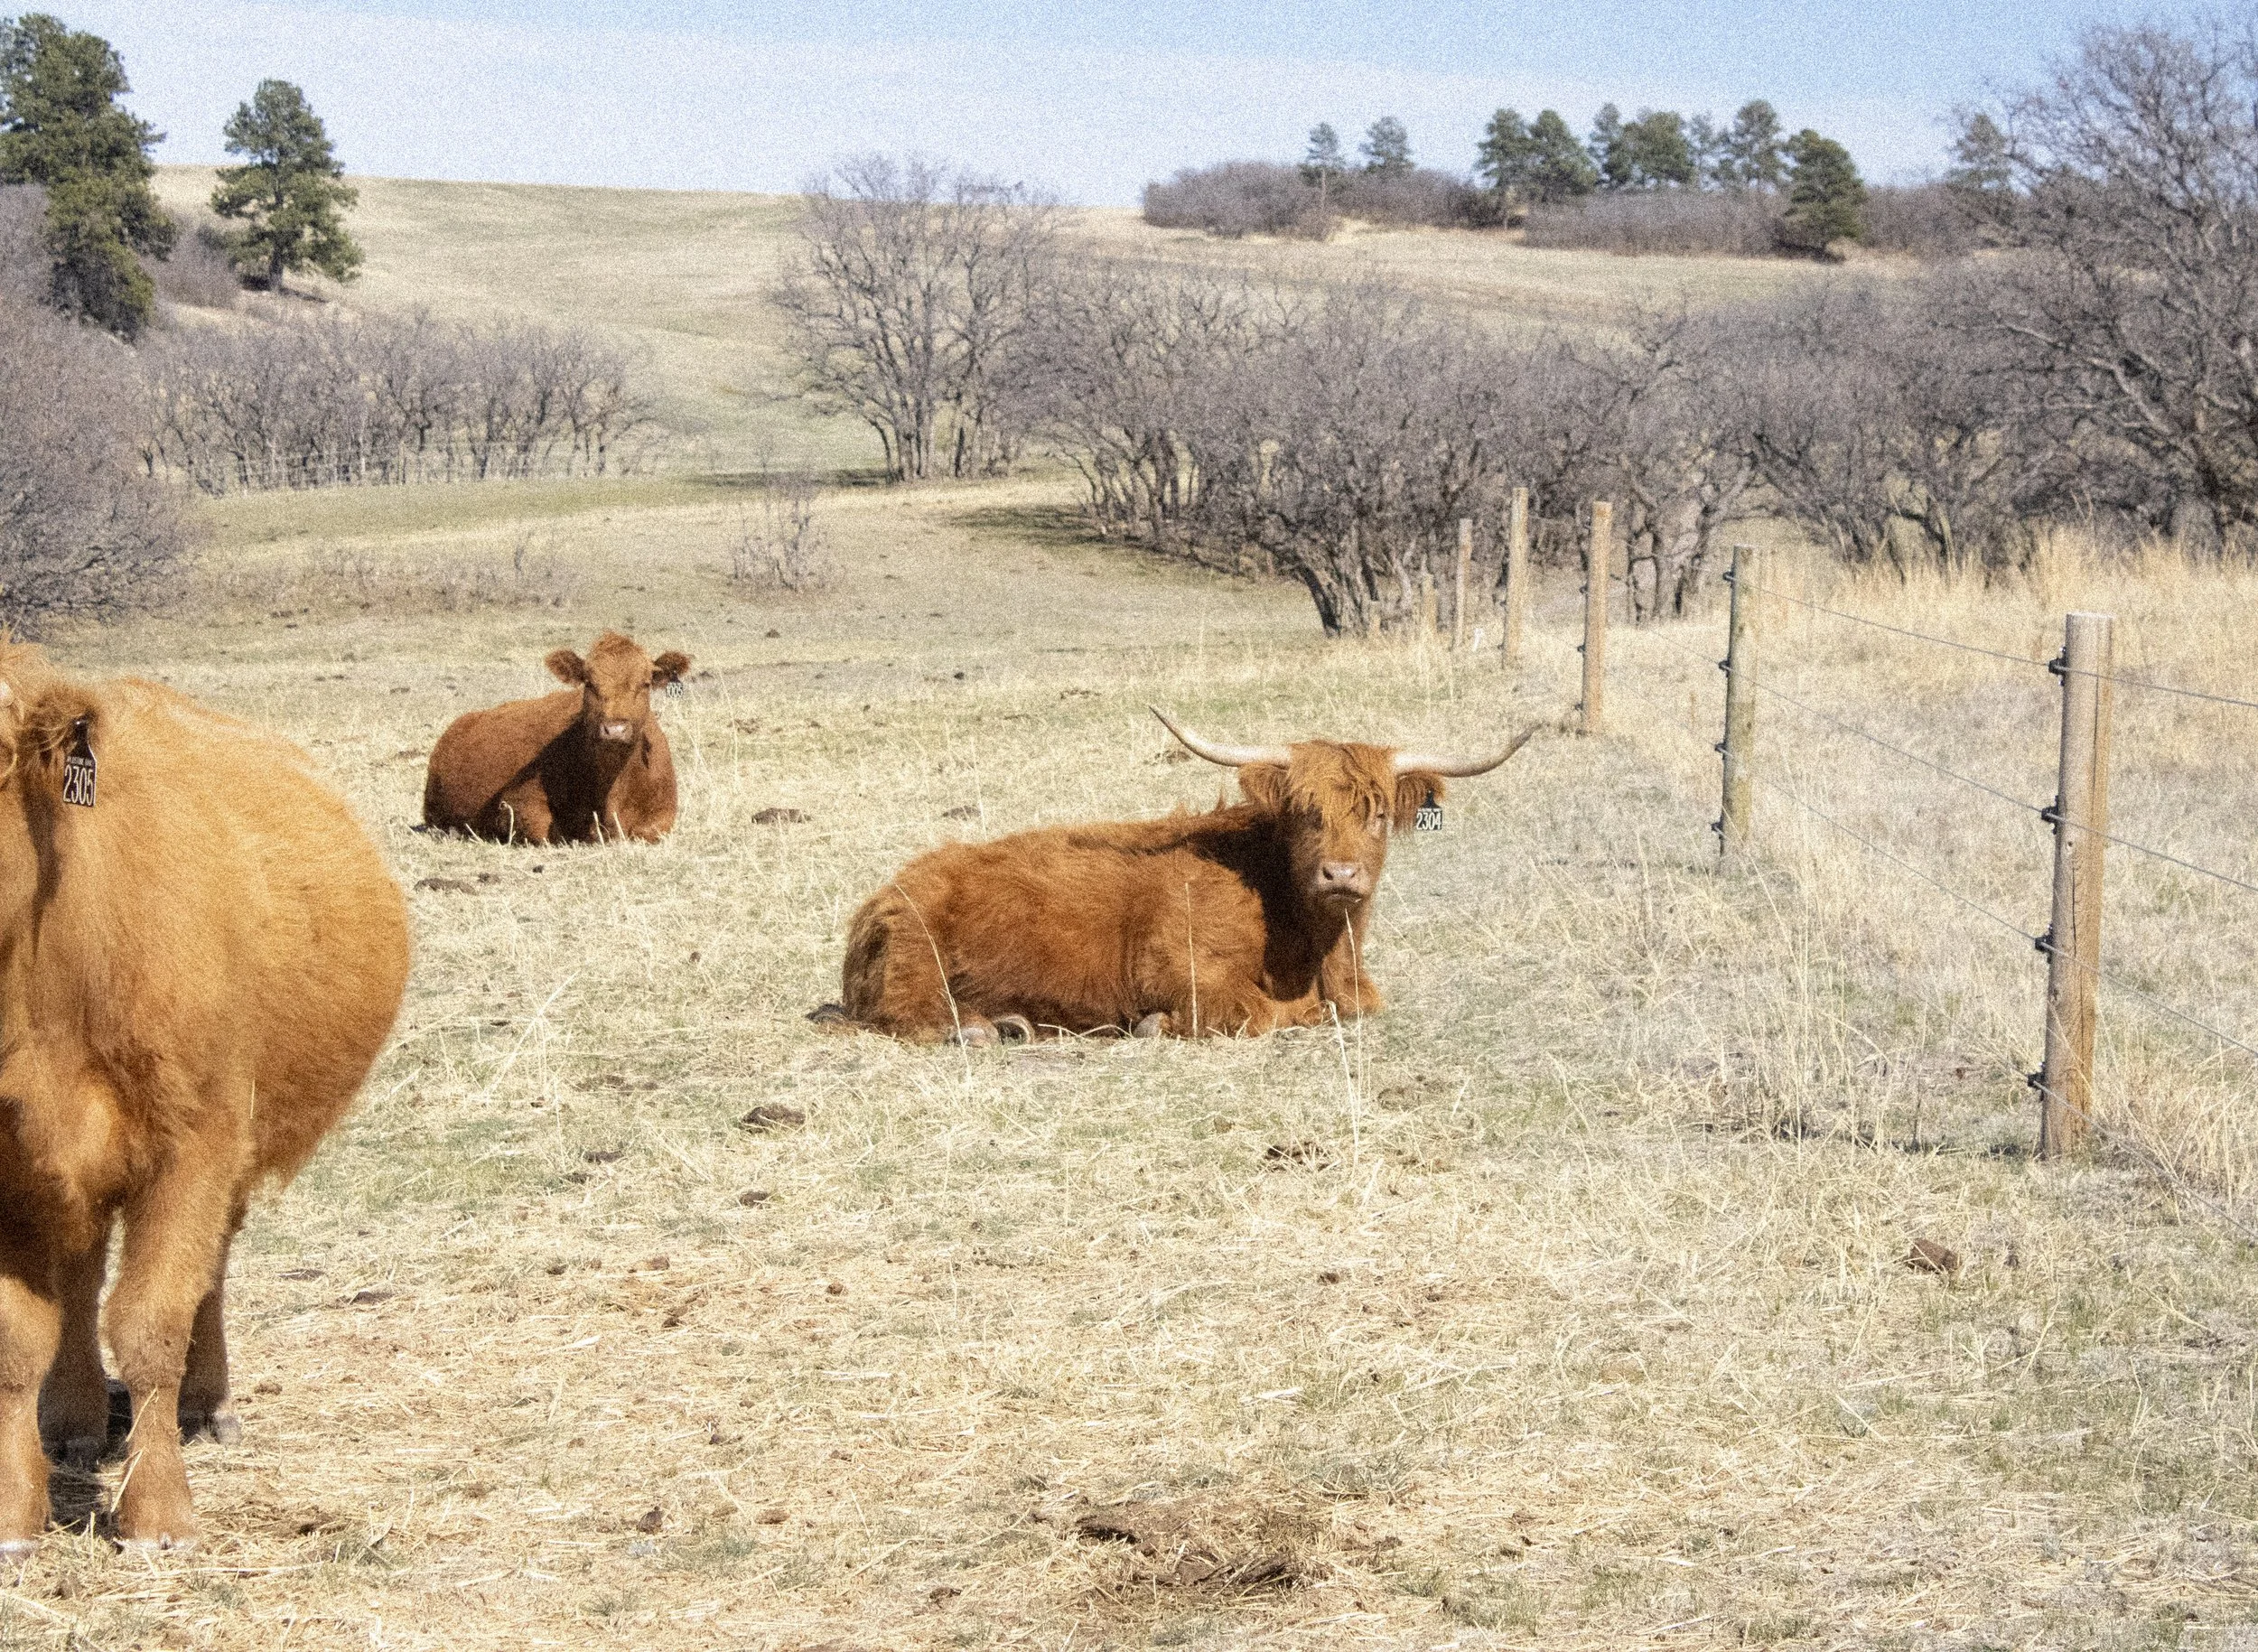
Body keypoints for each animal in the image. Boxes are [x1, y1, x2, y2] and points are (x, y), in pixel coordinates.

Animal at [0, 644, 409, 1553]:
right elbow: (17, 1339)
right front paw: (13, 1514)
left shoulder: (197, 1143)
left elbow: (153, 1323)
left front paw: (159, 1515)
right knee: (82, 1275)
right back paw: (74, 1420)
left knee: (206, 1271)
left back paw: (208, 1401)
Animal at [421, 631, 692, 845]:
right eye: (589, 683)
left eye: (645, 684)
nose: (614, 729)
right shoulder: (515, 804)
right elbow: (545, 831)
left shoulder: (663, 815)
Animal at [828, 707, 1537, 1043]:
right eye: (1305, 813)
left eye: (1379, 813)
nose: (1340, 874)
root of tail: (883, 895)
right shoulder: (1183, 970)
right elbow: (1264, 1012)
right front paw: (1155, 1025)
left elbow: (1352, 1006)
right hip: (917, 960)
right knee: (910, 1014)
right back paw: (977, 1030)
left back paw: (1011, 1025)